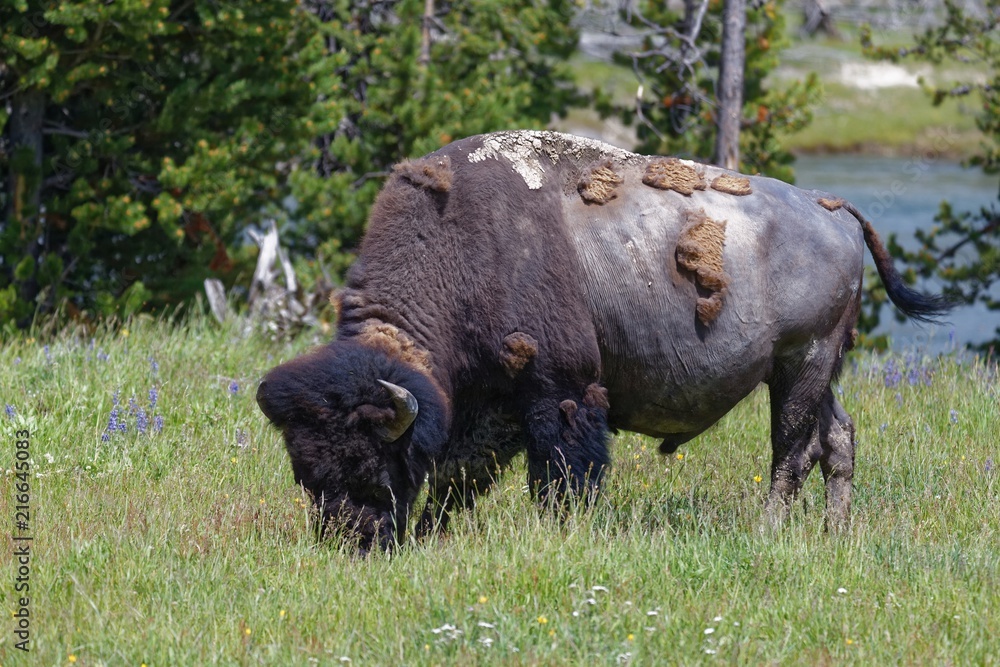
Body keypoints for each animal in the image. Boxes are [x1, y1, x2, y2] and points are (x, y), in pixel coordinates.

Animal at [254, 130, 948, 552]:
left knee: (793, 449)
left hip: (801, 364)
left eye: (373, 464)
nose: (352, 541)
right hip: (818, 369)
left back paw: (767, 530)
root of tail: (832, 207)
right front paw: (434, 532)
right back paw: (835, 533)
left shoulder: (558, 391)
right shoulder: (494, 404)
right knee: (838, 438)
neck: (462, 250)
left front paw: (563, 530)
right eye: (305, 473)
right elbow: (460, 474)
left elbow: (562, 472)